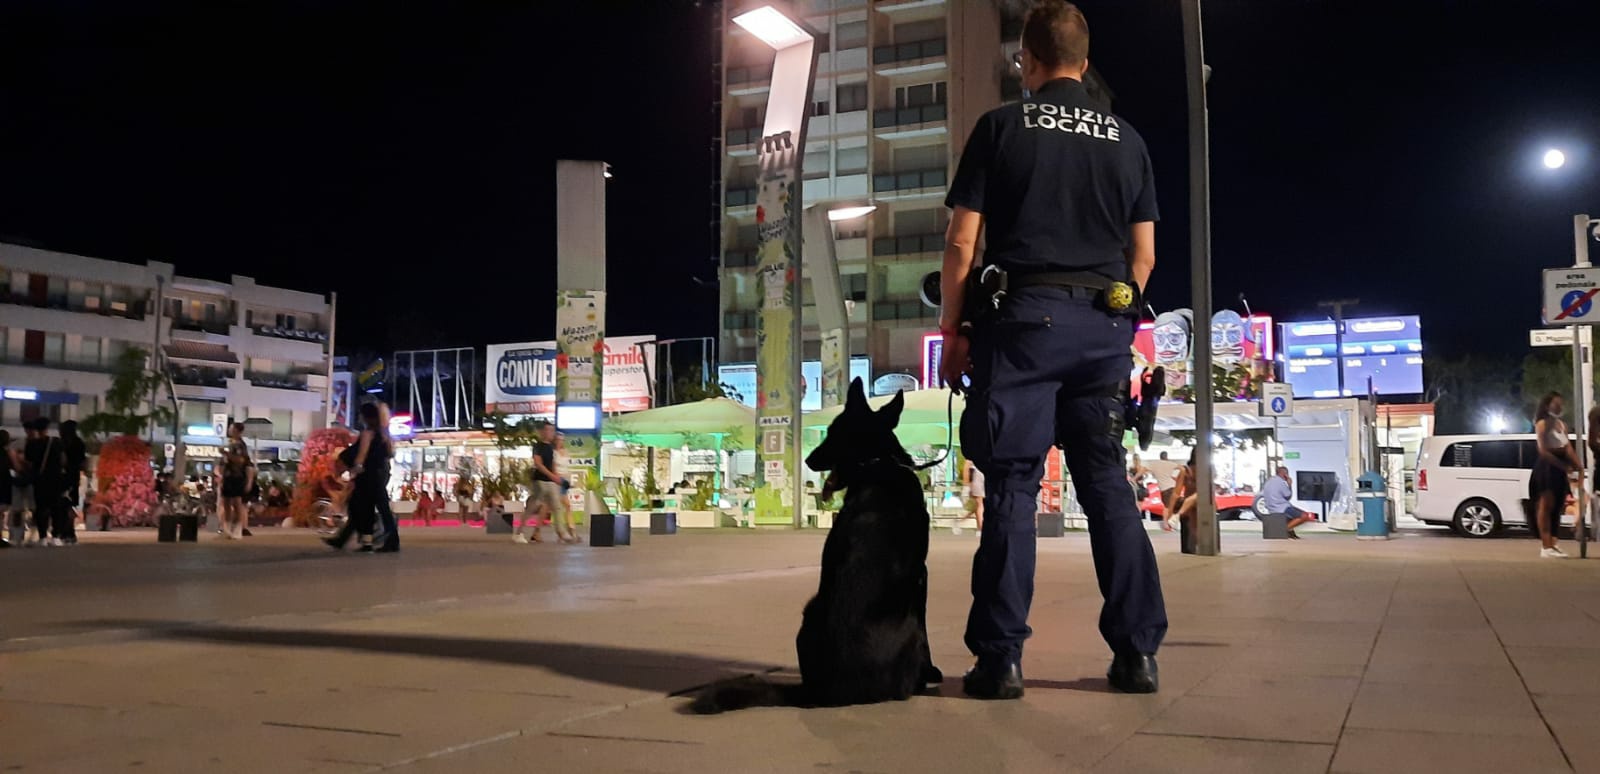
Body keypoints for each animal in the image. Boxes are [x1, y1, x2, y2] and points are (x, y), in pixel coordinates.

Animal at [694, 380, 940, 713]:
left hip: (809, 611)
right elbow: (927, 630)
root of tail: (820, 695)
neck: (877, 465)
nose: (809, 460)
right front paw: (932, 671)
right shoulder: (921, 576)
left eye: (834, 434)